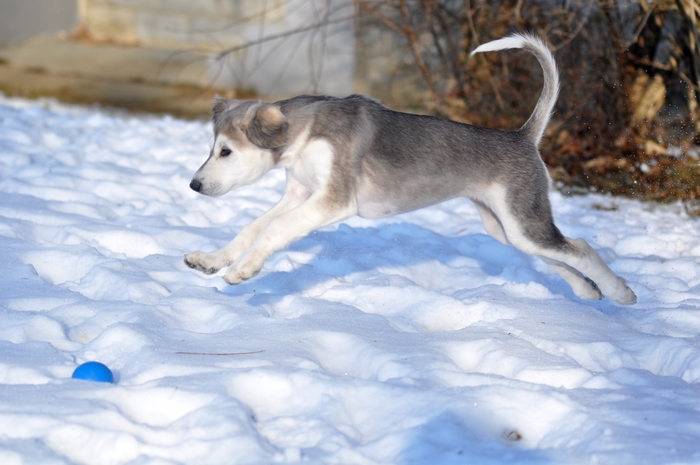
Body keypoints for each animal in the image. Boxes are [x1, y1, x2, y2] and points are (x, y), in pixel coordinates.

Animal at [183, 34, 636, 306]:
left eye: (226, 151)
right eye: (212, 148)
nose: (194, 185)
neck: (304, 133)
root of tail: (523, 137)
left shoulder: (333, 201)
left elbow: (274, 230)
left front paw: (243, 270)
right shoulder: (299, 194)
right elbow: (253, 228)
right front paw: (211, 260)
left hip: (524, 222)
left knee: (581, 247)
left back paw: (621, 293)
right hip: (507, 228)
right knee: (560, 255)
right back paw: (588, 291)